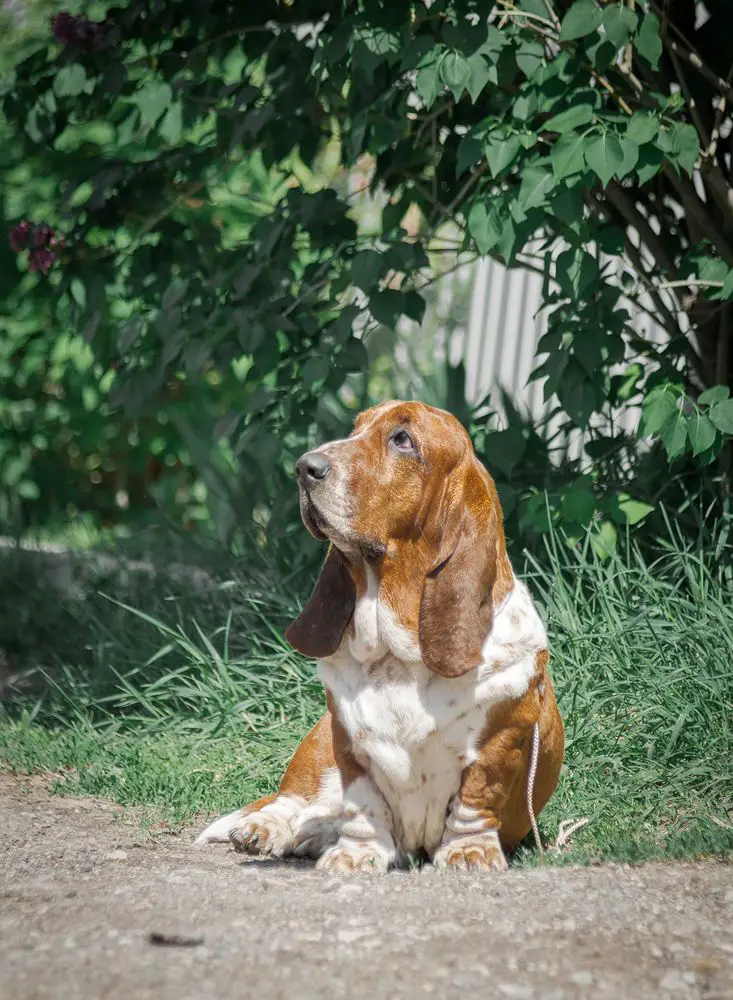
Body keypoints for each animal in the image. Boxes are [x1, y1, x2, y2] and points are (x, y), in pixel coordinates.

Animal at [198, 401, 564, 872]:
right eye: (356, 428)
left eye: (402, 439)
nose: (304, 467)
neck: (400, 660)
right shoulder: (349, 747)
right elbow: (363, 807)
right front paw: (354, 856)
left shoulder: (498, 741)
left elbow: (475, 798)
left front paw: (469, 852)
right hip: (316, 756)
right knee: (291, 801)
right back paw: (264, 829)